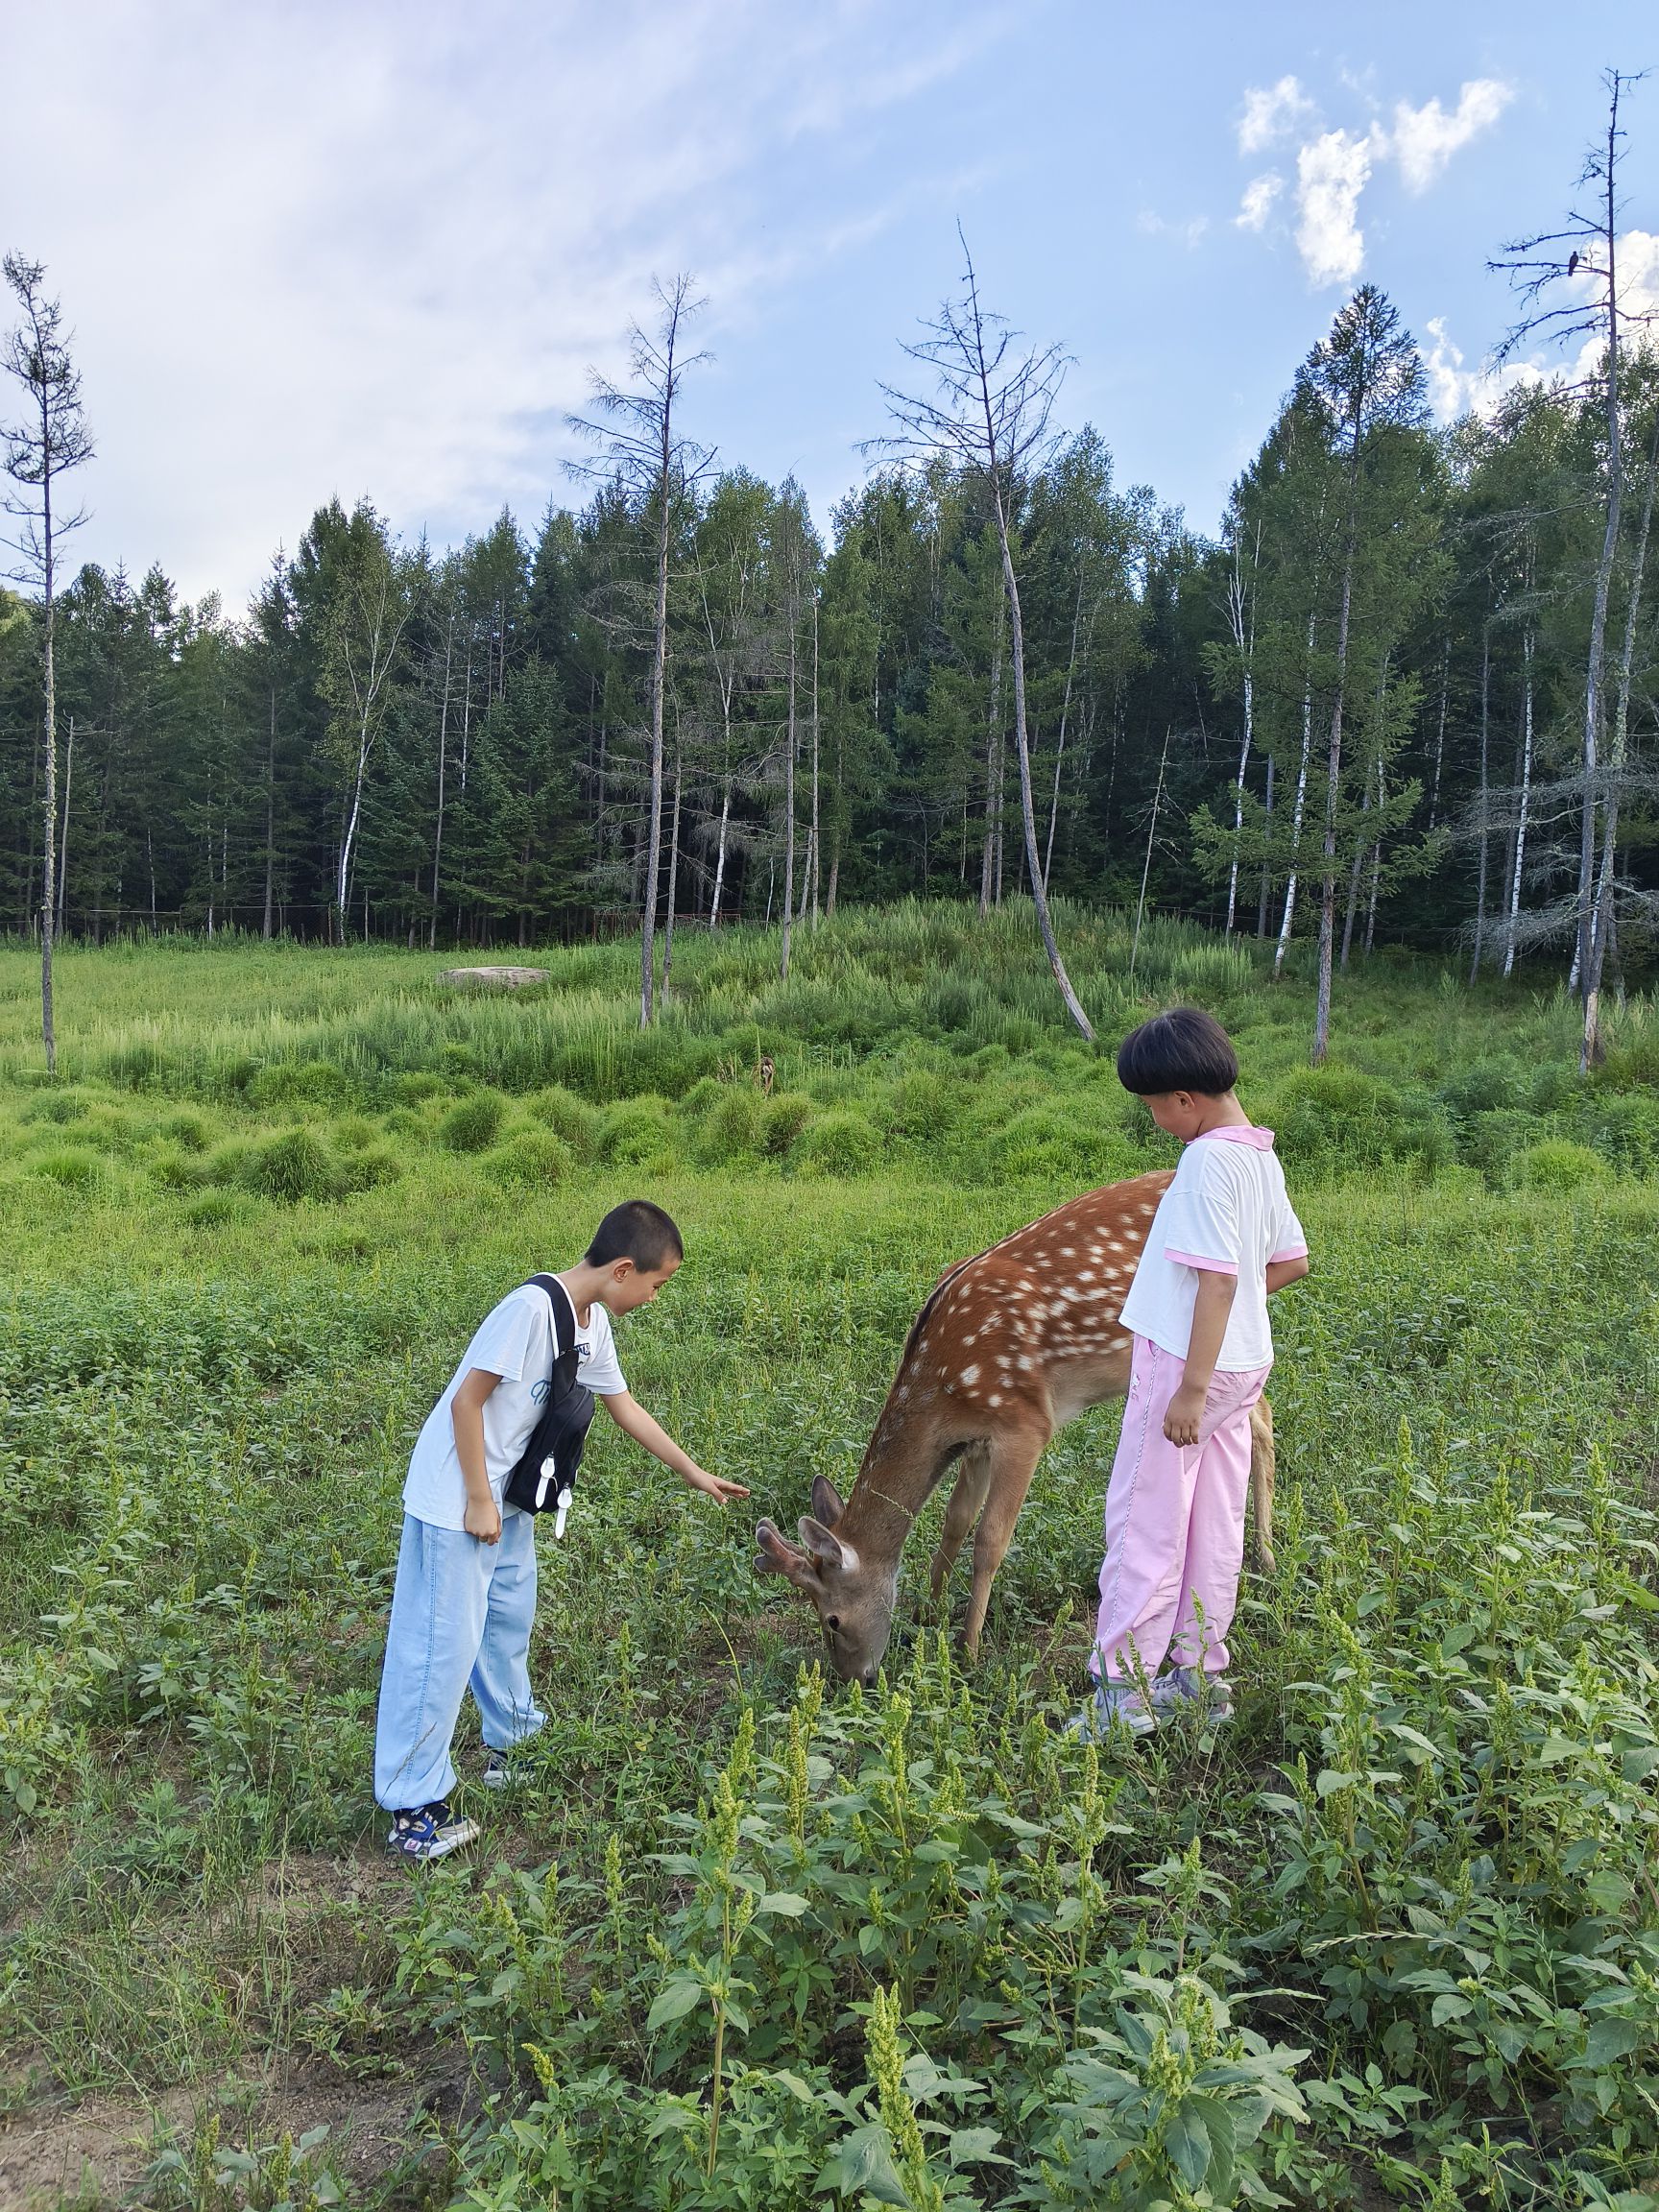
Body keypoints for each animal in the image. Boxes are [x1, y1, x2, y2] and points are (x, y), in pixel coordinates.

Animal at [754, 1172, 1276, 1685]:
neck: (942, 1389)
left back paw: (1265, 1558)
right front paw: (928, 1615)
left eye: (832, 1619)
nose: (852, 1679)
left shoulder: (1024, 1424)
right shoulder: (975, 1439)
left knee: (1257, 1414)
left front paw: (968, 1651)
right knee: (1260, 1412)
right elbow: (955, 1522)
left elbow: (990, 1540)